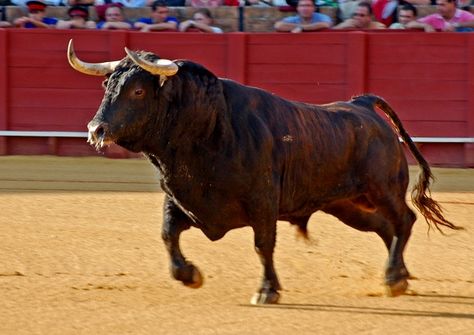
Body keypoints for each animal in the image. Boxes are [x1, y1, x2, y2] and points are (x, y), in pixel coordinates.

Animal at [66, 40, 460, 306]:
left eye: (136, 90)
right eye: (107, 87)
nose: (95, 130)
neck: (207, 125)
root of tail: (361, 104)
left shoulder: (263, 203)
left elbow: (262, 245)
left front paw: (267, 291)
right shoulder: (179, 197)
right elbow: (167, 235)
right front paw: (190, 276)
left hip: (383, 190)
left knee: (404, 220)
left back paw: (394, 279)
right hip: (347, 205)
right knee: (384, 228)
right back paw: (399, 276)